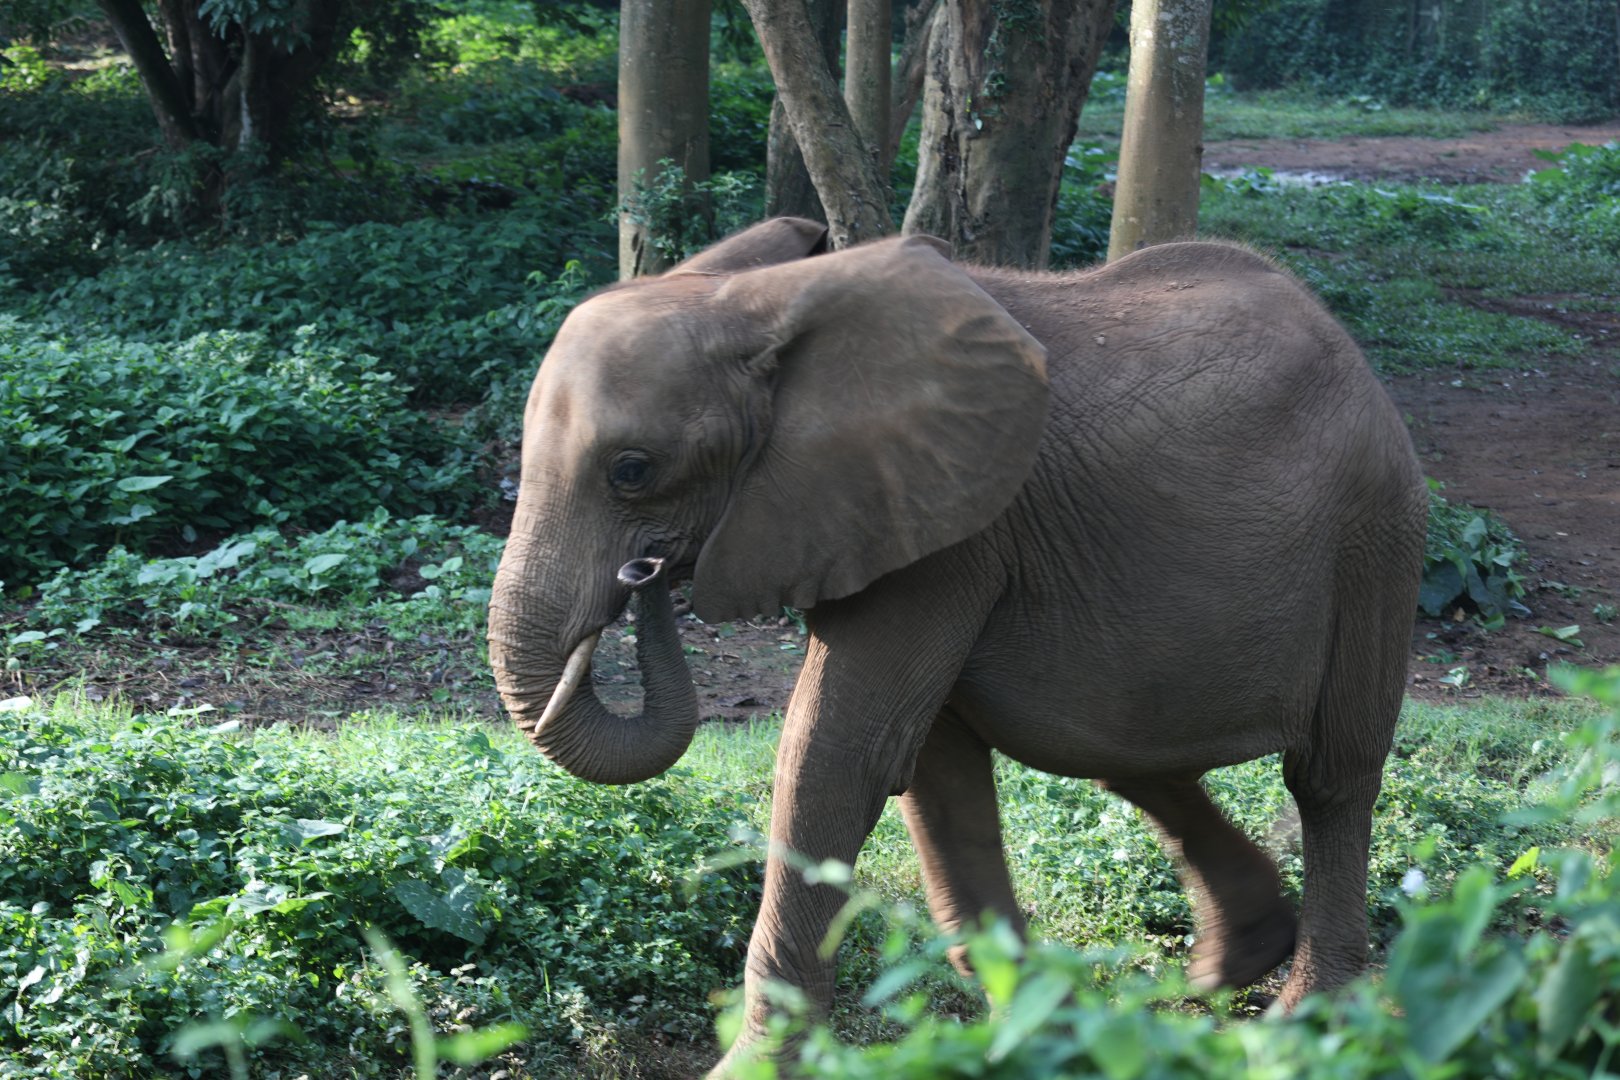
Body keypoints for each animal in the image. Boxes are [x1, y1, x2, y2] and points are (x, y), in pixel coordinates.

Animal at [486, 217, 1425, 1070]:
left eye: (632, 470)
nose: (643, 573)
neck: (758, 305)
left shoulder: (945, 531)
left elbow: (838, 757)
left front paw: (754, 1068)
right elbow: (932, 774)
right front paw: (1043, 1035)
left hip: (1373, 534)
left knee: (1329, 777)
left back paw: (1310, 1021)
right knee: (1128, 754)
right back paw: (1231, 967)